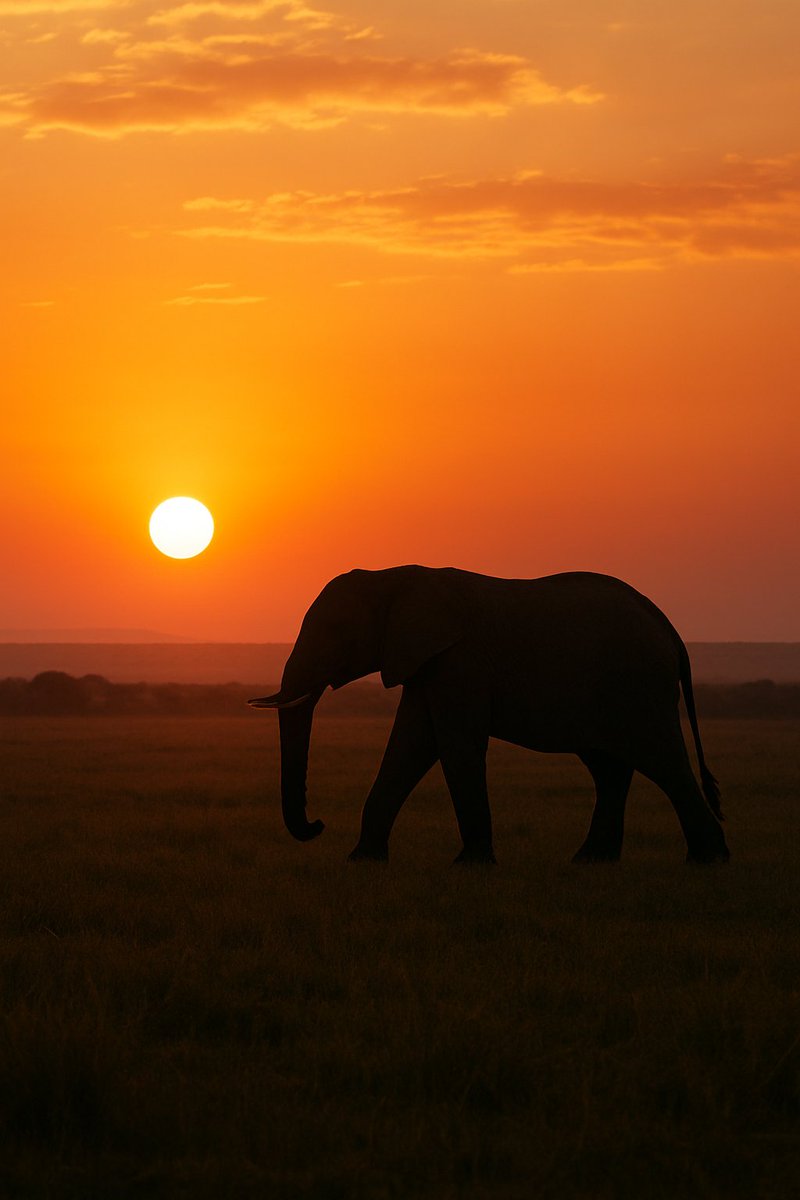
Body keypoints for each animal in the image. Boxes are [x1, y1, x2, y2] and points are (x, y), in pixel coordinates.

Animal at [250, 566, 729, 865]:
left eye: (334, 631)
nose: (318, 825)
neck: (394, 577)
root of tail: (669, 627)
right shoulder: (427, 663)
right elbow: (410, 745)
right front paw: (362, 861)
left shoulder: (460, 662)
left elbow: (453, 746)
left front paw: (470, 865)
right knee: (609, 768)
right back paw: (590, 862)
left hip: (639, 687)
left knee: (663, 762)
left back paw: (708, 862)